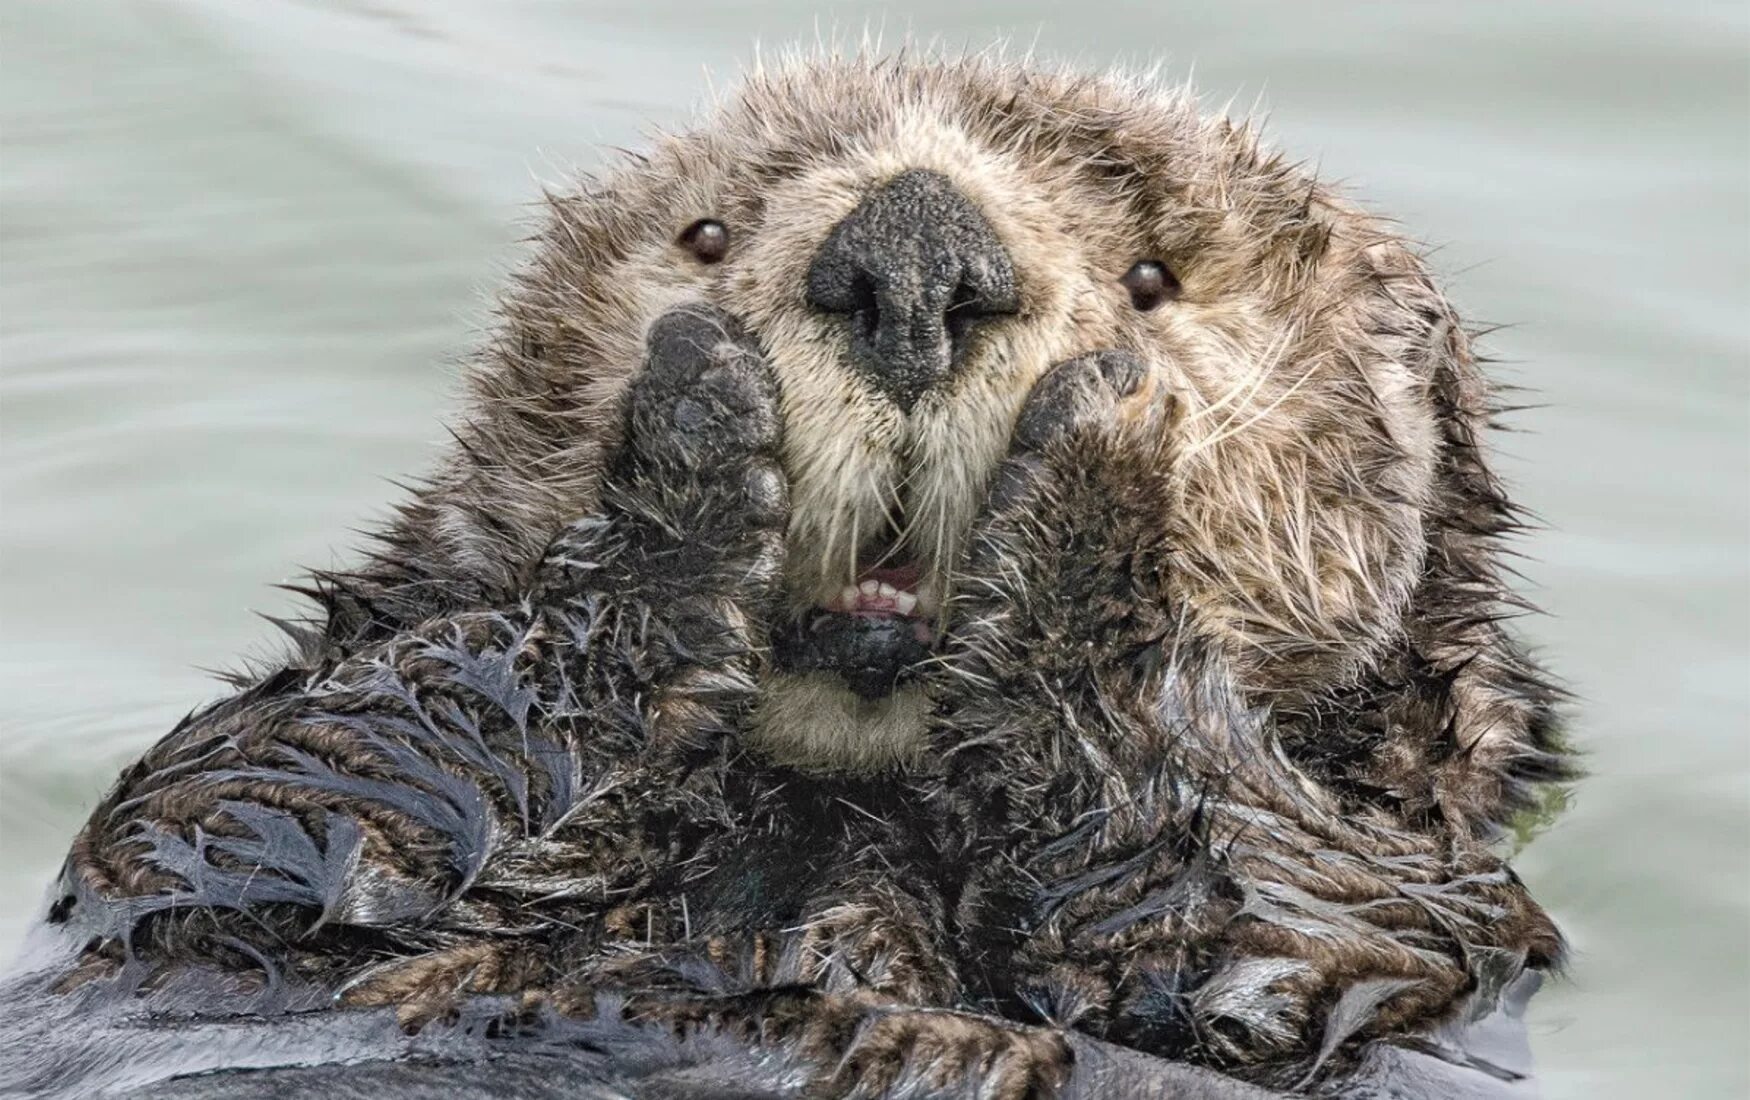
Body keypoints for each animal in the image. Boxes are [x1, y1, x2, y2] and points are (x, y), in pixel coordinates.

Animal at [3, 53, 1575, 1098]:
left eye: (1152, 279)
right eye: (705, 234)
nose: (914, 254)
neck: (839, 814)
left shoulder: (1417, 920)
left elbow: (1252, 918)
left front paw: (1099, 461)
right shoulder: (202, 854)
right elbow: (263, 795)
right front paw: (692, 434)